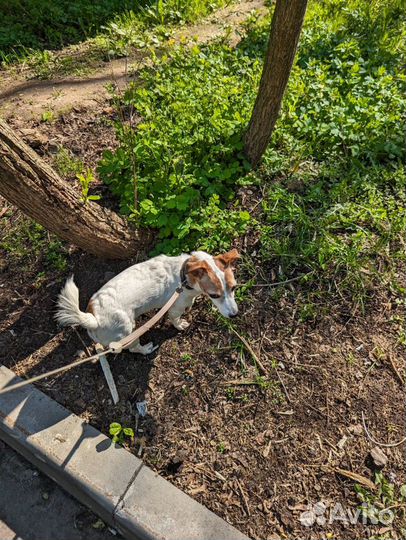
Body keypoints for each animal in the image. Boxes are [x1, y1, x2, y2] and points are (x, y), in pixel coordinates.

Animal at [56, 249, 241, 354]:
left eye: (234, 287)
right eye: (214, 295)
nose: (234, 315)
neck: (184, 275)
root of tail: (93, 318)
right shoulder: (175, 308)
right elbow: (175, 319)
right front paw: (180, 324)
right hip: (128, 331)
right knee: (132, 349)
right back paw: (146, 349)